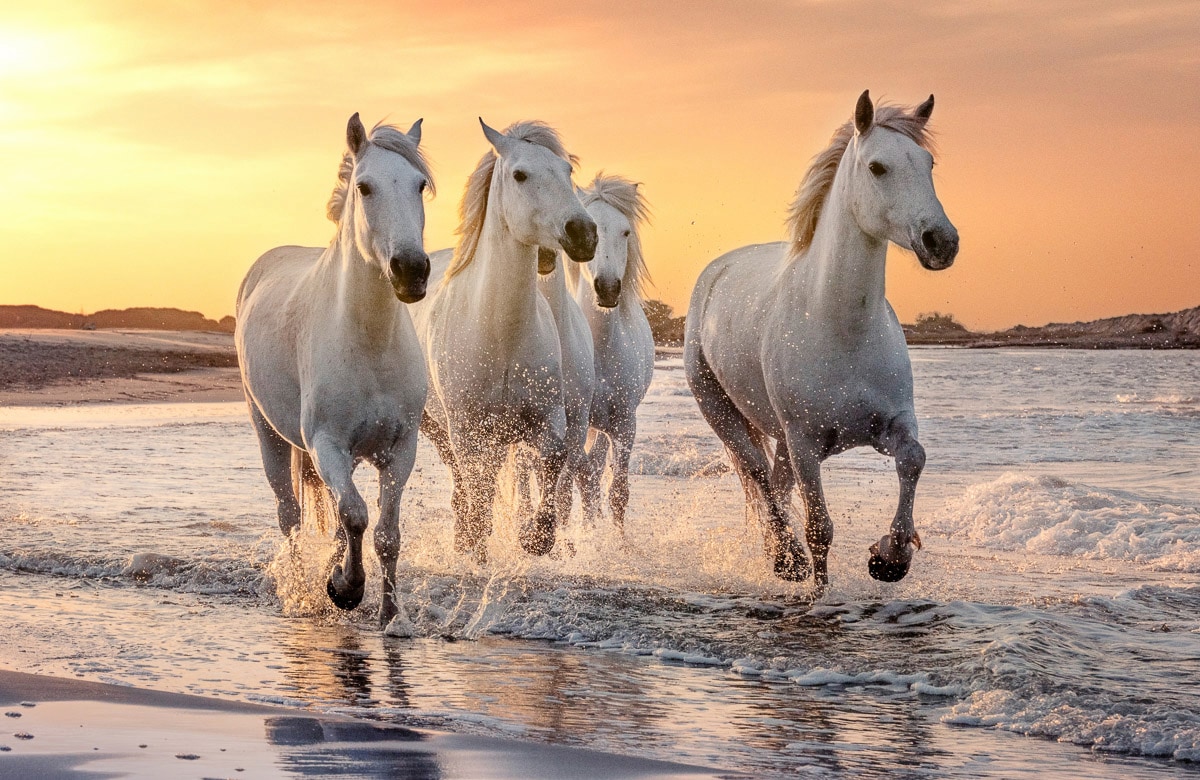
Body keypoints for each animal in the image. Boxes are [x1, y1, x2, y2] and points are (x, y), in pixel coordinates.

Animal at [236, 112, 434, 624]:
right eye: (364, 187)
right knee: (290, 515)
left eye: (420, 185)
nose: (411, 270)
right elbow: (356, 516)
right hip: (269, 434)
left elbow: (384, 533)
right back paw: (303, 591)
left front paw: (390, 615)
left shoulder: (400, 449)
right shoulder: (326, 444)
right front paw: (346, 589)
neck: (369, 343)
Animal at [410, 118, 597, 561]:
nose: (583, 233)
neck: (501, 334)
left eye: (567, 172)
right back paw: (465, 541)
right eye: (520, 175)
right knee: (465, 485)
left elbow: (552, 464)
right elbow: (477, 492)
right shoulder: (467, 431)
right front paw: (476, 546)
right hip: (438, 428)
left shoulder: (548, 421)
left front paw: (534, 537)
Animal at [686, 91, 955, 585]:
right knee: (758, 475)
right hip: (723, 413)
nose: (941, 241)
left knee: (775, 483)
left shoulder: (892, 424)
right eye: (877, 167)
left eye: (928, 162)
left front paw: (890, 556)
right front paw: (819, 587)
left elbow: (913, 459)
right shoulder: (806, 443)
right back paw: (786, 558)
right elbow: (819, 530)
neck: (841, 329)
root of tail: (716, 272)